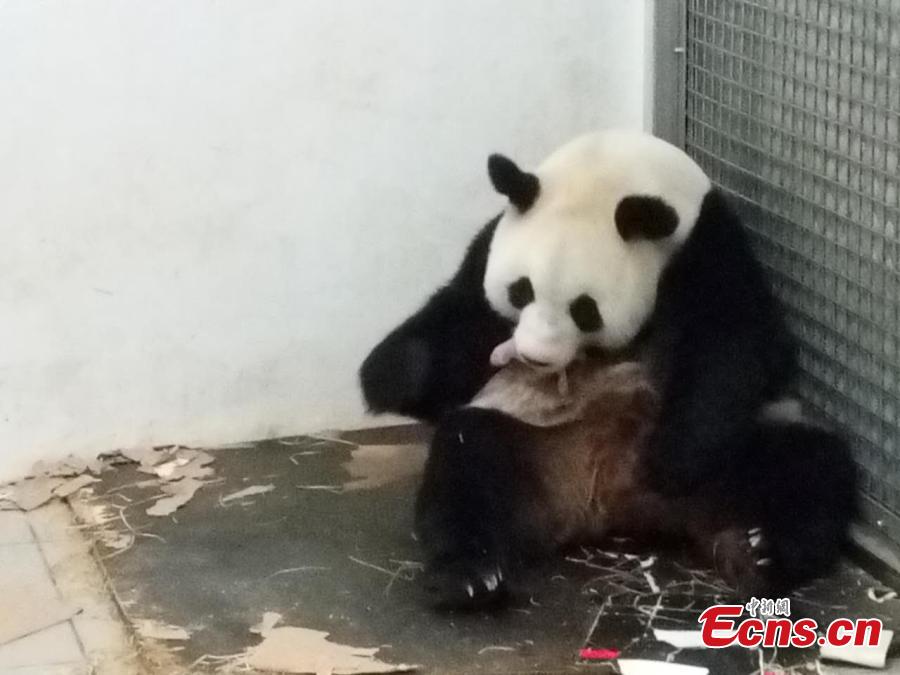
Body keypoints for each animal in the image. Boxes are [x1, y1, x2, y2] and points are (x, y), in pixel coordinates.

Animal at [360, 129, 858, 609]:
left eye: (584, 310)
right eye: (521, 291)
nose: (535, 357)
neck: (611, 165)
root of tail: (604, 502)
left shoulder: (708, 249)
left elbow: (733, 342)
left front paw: (672, 459)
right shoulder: (487, 251)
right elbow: (461, 322)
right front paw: (395, 373)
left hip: (738, 458)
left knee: (805, 466)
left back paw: (760, 552)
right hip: (524, 438)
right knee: (467, 465)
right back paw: (469, 576)